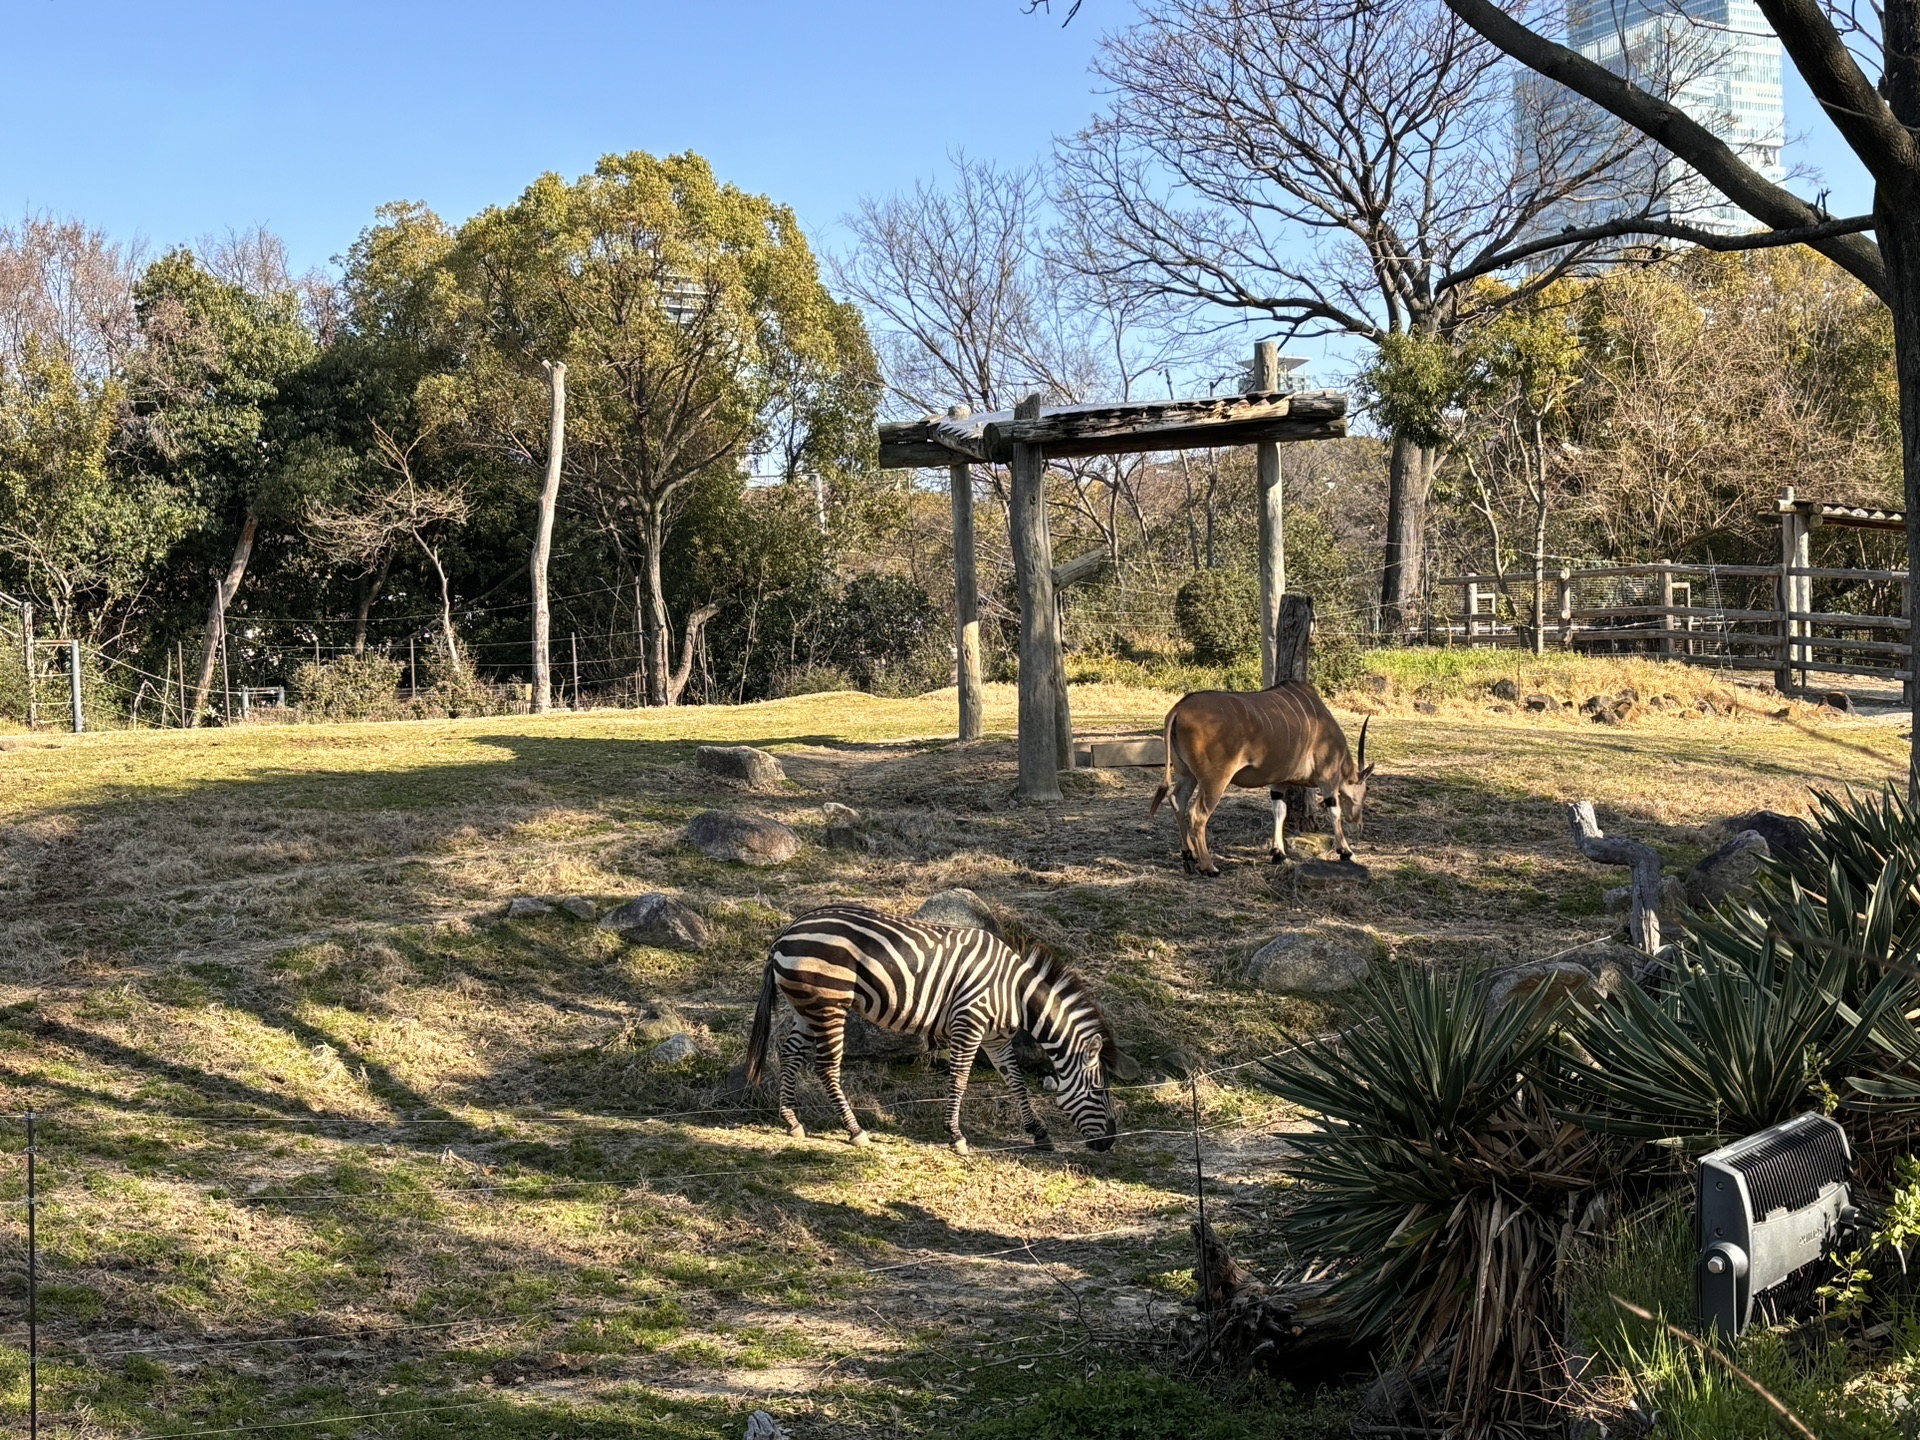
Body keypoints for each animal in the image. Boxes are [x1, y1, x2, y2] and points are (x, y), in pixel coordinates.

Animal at [741, 906, 1121, 1159]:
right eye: (1100, 1090)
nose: (1110, 1143)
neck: (1015, 992)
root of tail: (786, 933)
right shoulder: (969, 1023)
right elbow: (960, 1081)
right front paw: (956, 1136)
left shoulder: (996, 1039)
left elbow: (1016, 1083)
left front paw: (1039, 1133)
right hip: (829, 1003)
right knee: (827, 1067)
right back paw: (855, 1131)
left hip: (806, 1006)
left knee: (790, 1052)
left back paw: (792, 1121)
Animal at [1144, 687, 1374, 879]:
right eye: (1365, 791)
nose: (1359, 825)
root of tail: (1179, 709)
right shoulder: (1328, 779)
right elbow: (1334, 812)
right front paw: (1345, 851)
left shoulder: (1278, 783)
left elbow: (1279, 811)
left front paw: (1278, 853)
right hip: (1214, 781)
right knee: (1197, 814)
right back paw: (1209, 867)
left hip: (1187, 775)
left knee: (1177, 801)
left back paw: (1188, 856)